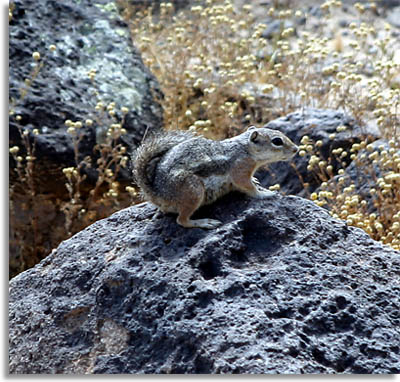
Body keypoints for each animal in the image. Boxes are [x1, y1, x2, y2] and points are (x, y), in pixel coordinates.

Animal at [133, 125, 298, 228]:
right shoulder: (240, 169)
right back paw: (204, 223)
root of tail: (157, 193)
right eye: (277, 141)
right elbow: (248, 187)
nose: (296, 149)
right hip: (193, 191)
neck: (245, 149)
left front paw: (257, 181)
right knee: (182, 220)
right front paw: (266, 194)